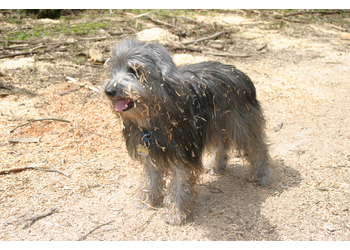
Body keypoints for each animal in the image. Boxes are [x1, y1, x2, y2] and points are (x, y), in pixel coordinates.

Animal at [101, 38, 270, 226]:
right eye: (113, 69)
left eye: (134, 70)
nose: (109, 91)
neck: (155, 114)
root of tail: (240, 73)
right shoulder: (150, 151)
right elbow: (151, 178)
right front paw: (148, 201)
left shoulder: (182, 154)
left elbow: (179, 186)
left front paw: (176, 214)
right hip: (216, 126)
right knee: (222, 146)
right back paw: (217, 167)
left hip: (241, 125)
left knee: (258, 148)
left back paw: (262, 176)